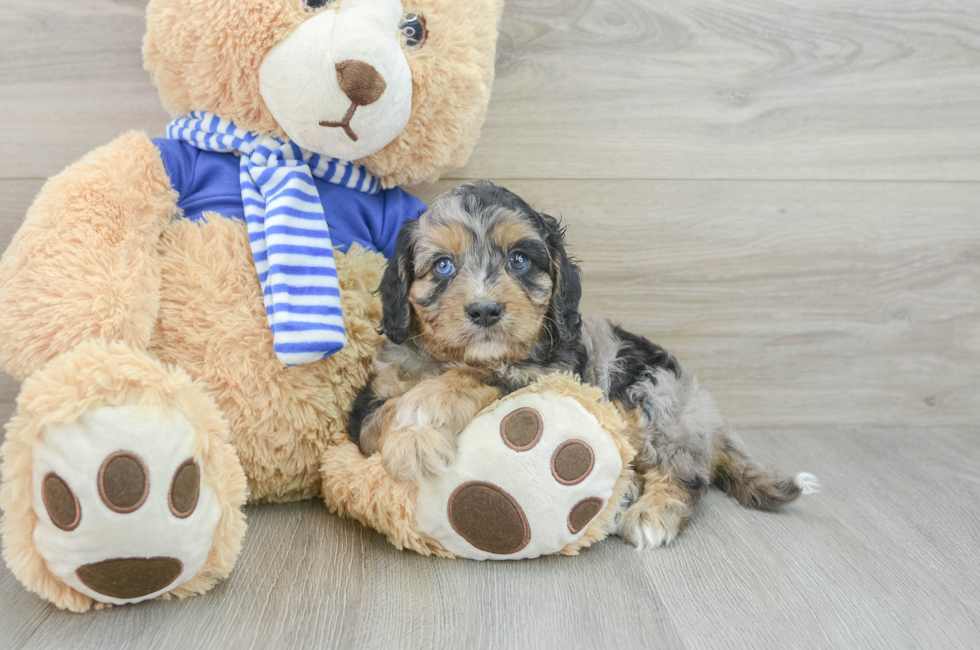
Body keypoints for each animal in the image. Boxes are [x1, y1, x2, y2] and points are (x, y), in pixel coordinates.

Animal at [348, 180, 816, 544]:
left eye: (519, 260)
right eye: (443, 266)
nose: (484, 310)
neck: (451, 355)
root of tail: (706, 412)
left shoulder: (542, 376)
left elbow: (472, 376)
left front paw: (419, 429)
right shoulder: (369, 404)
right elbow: (380, 418)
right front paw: (412, 431)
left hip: (656, 401)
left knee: (684, 474)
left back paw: (652, 515)